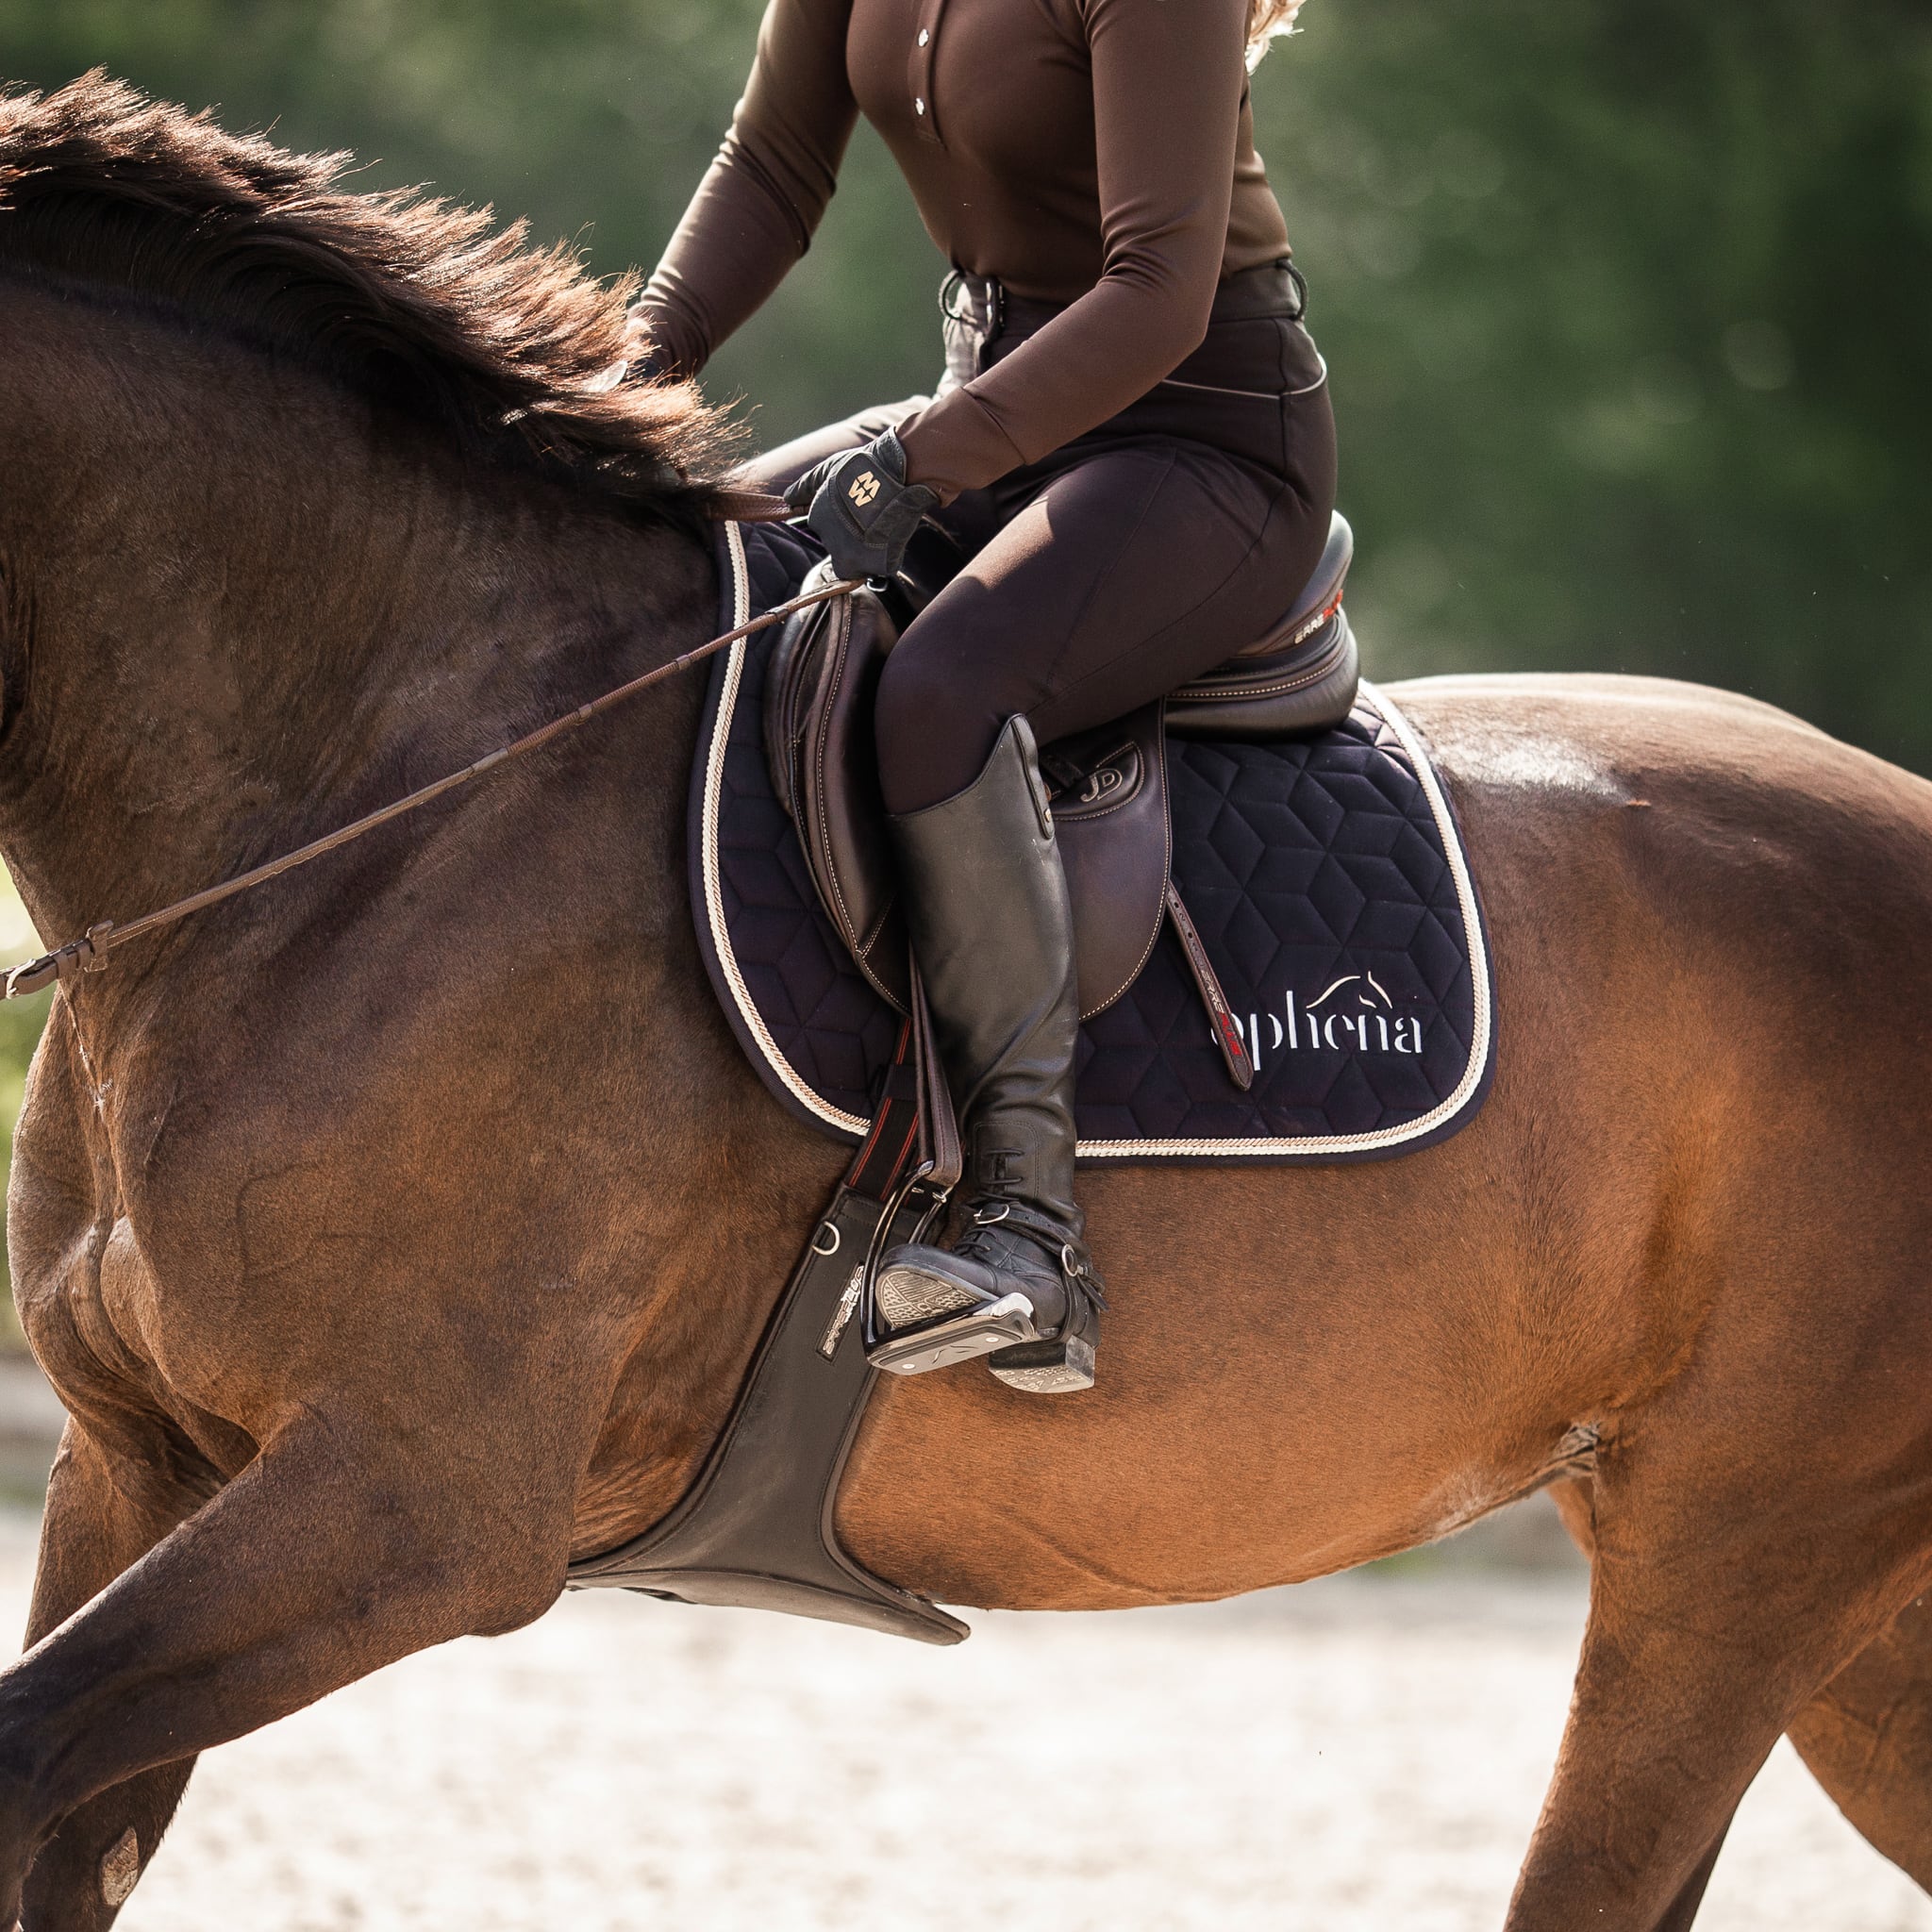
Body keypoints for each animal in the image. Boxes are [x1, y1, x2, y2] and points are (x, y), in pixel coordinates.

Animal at [0, 73, 1928, 1932]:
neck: (386, 780)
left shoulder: (407, 1504)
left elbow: (30, 1748)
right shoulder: (135, 1465)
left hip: (1736, 1566)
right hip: (1845, 1635)